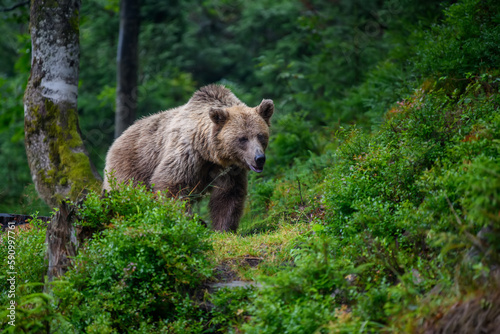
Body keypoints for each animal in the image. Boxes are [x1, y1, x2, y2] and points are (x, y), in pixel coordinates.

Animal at [101, 85, 274, 231]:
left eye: (261, 136)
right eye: (242, 138)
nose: (259, 158)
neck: (210, 153)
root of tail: (117, 140)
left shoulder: (229, 170)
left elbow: (228, 195)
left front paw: (223, 229)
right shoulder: (188, 155)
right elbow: (171, 185)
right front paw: (196, 221)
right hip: (133, 165)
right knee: (129, 194)